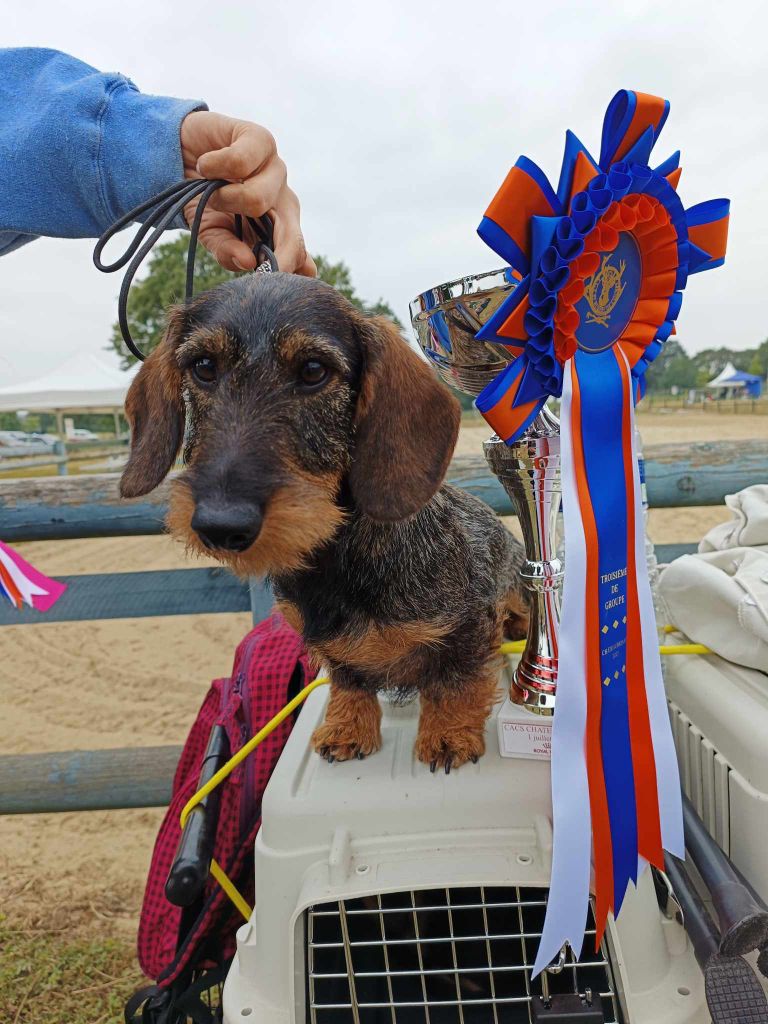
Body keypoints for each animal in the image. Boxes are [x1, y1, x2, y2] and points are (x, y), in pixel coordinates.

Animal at [121, 272, 528, 770]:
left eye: (314, 370)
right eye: (203, 366)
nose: (220, 525)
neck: (337, 557)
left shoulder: (466, 623)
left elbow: (455, 681)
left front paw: (449, 734)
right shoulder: (329, 646)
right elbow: (349, 681)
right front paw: (347, 728)